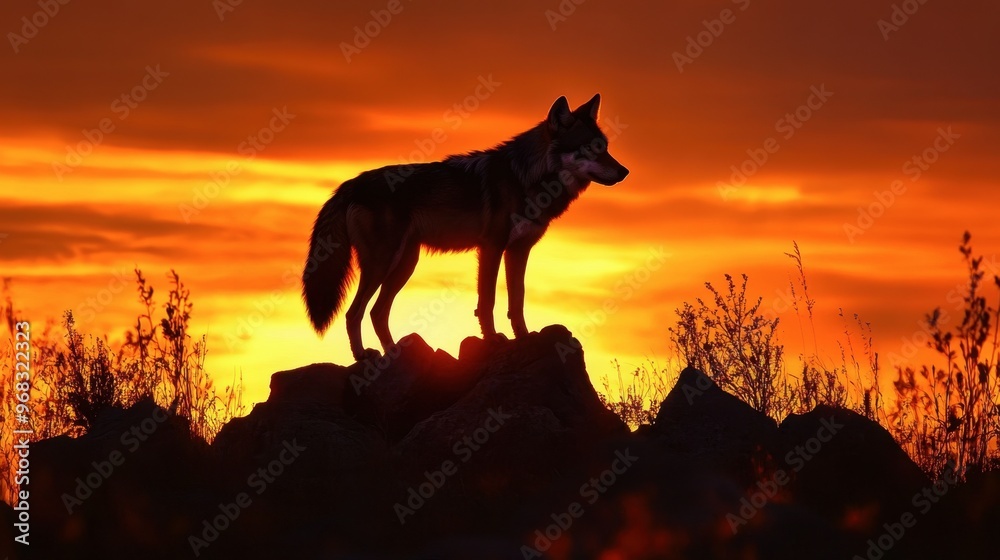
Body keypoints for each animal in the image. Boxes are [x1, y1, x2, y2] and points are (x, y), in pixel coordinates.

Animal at [302, 94, 629, 360]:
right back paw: (362, 356)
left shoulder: (519, 250)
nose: (624, 171)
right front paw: (493, 340)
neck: (527, 178)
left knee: (376, 312)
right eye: (590, 149)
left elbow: (517, 300)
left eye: (606, 148)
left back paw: (392, 352)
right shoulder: (492, 247)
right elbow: (488, 301)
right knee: (354, 313)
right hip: (383, 264)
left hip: (405, 264)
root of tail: (350, 184)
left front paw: (524, 337)